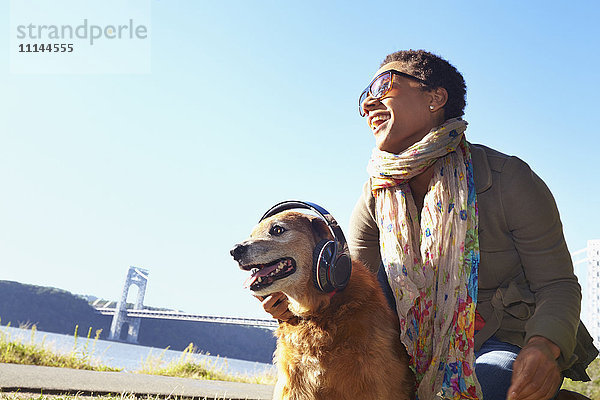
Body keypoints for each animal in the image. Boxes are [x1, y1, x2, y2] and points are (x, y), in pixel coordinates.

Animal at [232, 211, 414, 398]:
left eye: (277, 229)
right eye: (252, 234)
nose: (234, 250)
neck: (316, 312)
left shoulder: (370, 383)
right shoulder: (294, 384)